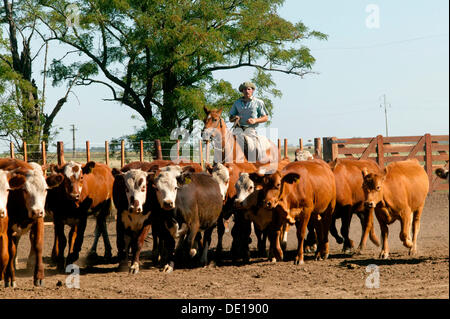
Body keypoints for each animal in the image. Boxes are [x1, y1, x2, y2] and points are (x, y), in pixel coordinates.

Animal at [0, 160, 63, 288]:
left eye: (46, 189)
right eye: (25, 190)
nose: (37, 211)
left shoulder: (39, 220)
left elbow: (38, 245)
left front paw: (39, 277)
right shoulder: (8, 228)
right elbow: (11, 250)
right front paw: (10, 278)